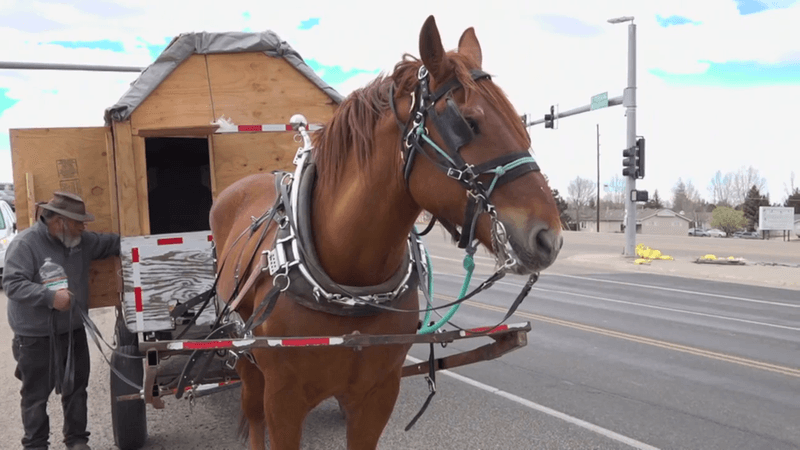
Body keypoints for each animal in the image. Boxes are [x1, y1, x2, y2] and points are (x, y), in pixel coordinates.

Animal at [209, 15, 563, 450]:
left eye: (520, 125)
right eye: (469, 123)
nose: (549, 238)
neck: (349, 283)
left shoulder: (376, 396)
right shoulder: (284, 401)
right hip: (243, 356)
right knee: (253, 413)